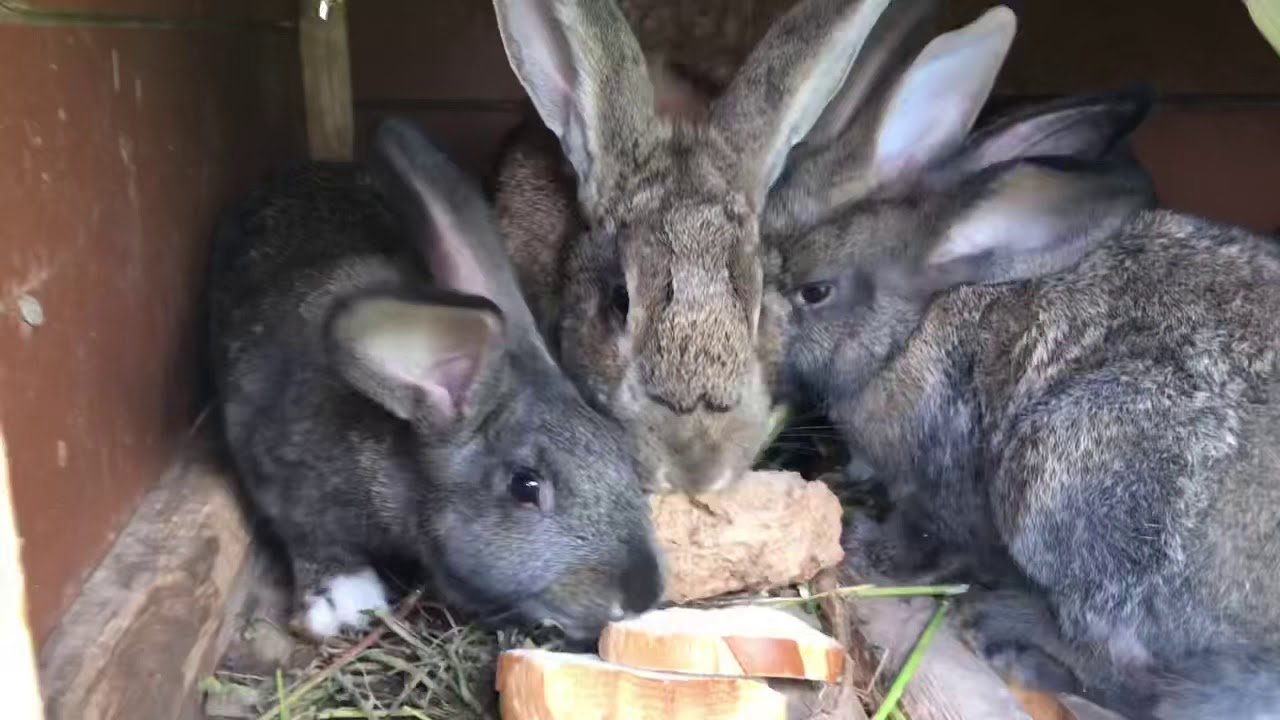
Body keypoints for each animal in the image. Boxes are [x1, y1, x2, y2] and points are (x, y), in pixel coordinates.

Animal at [204, 116, 665, 638]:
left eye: (619, 448)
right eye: (525, 487)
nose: (642, 593)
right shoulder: (284, 481)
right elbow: (312, 536)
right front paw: (341, 598)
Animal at [762, 7, 1280, 717]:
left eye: (814, 291)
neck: (912, 326)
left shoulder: (945, 479)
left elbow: (927, 539)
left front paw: (866, 546)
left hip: (1067, 474)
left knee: (1134, 671)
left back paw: (1006, 632)